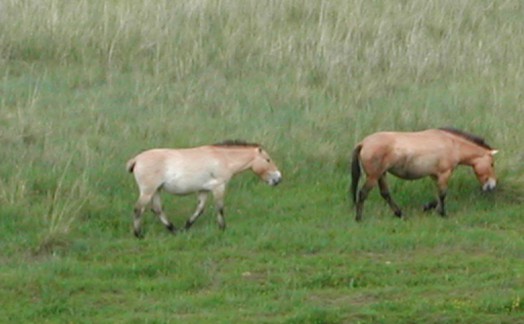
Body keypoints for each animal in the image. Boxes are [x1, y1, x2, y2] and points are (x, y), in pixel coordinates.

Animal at [126, 140, 282, 238]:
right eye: (268, 160)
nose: (278, 178)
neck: (224, 158)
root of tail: (136, 159)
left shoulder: (204, 190)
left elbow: (199, 210)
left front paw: (186, 227)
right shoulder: (219, 187)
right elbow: (220, 207)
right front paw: (222, 228)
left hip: (156, 190)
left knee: (157, 209)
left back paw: (174, 230)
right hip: (148, 191)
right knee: (138, 209)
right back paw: (138, 234)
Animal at [350, 128, 498, 221]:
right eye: (492, 164)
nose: (492, 185)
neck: (453, 144)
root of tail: (363, 143)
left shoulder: (435, 175)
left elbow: (437, 196)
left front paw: (428, 207)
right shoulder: (444, 173)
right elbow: (442, 195)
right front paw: (442, 213)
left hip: (381, 174)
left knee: (385, 194)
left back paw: (399, 214)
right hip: (373, 176)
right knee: (362, 193)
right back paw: (359, 218)